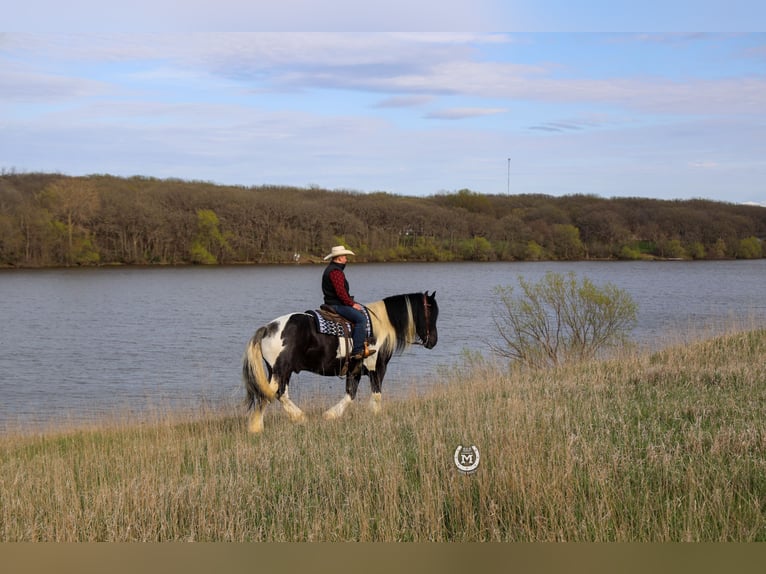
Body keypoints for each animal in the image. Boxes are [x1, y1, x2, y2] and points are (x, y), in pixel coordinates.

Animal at [243, 290, 440, 434]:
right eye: (431, 313)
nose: (433, 342)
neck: (380, 325)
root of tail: (268, 328)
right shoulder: (377, 367)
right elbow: (376, 394)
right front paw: (374, 415)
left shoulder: (355, 370)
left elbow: (350, 395)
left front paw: (331, 415)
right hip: (280, 370)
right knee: (270, 394)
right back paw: (265, 425)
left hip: (280, 371)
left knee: (276, 394)